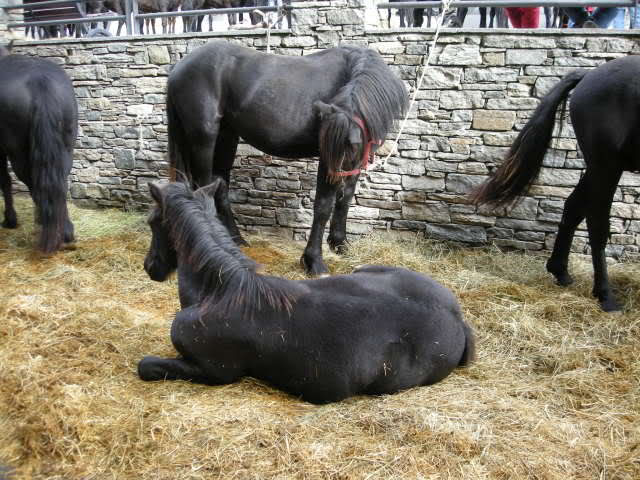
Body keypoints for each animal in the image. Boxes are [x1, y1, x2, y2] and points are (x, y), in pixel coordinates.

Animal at [0, 54, 77, 253]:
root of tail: (40, 81)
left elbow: (5, 181)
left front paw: (10, 220)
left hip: (18, 154)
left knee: (33, 184)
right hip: (66, 149)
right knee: (59, 183)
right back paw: (65, 231)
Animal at [139, 181, 476, 404]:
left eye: (152, 221)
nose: (150, 267)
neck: (220, 290)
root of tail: (458, 320)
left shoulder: (213, 371)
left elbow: (145, 366)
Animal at [165, 42, 404, 274]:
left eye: (354, 147)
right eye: (330, 145)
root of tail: (179, 66)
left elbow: (344, 200)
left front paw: (340, 244)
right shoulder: (327, 161)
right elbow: (324, 206)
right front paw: (314, 261)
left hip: (227, 137)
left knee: (220, 185)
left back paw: (236, 240)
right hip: (204, 139)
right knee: (203, 187)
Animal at [470, 56, 640, 312]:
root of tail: (590, 74)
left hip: (602, 166)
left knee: (574, 207)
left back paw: (560, 272)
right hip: (606, 163)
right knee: (596, 222)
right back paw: (605, 295)